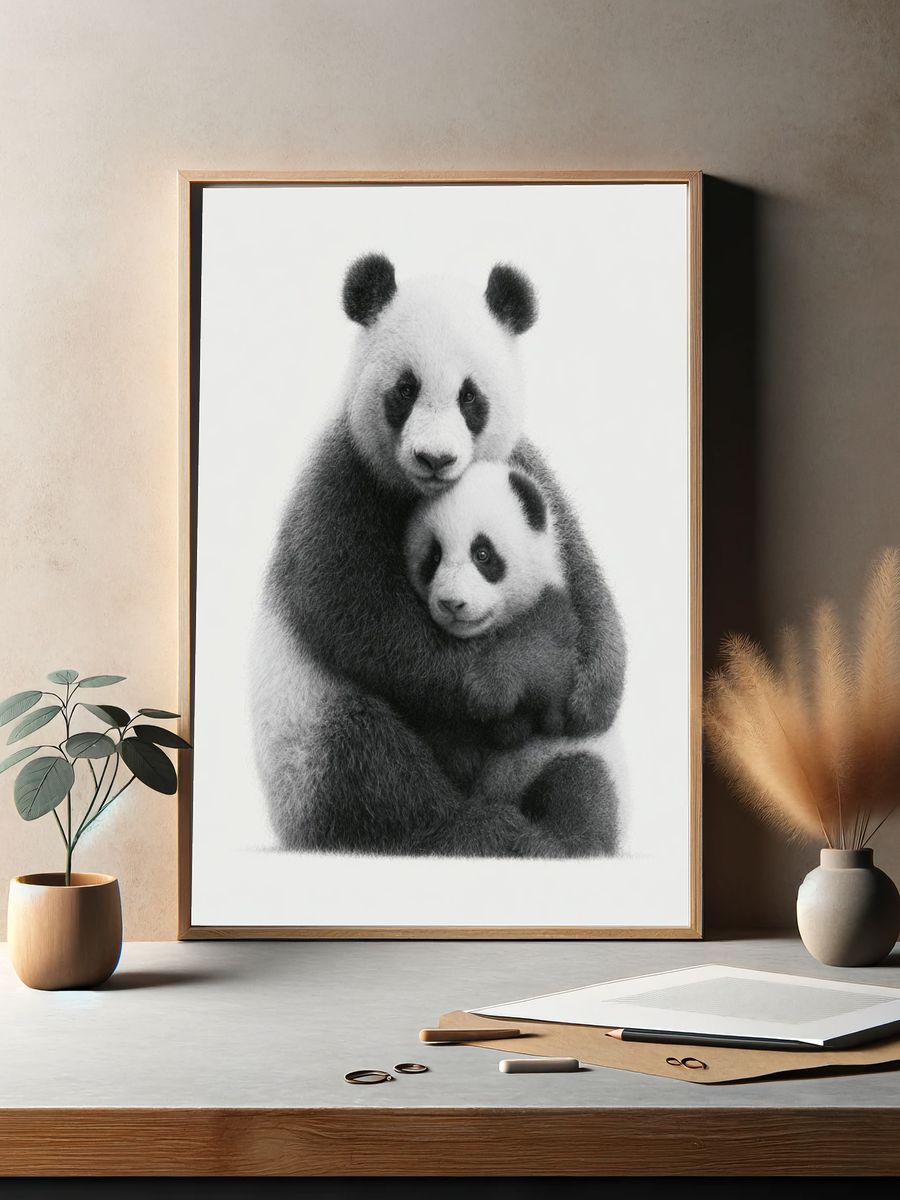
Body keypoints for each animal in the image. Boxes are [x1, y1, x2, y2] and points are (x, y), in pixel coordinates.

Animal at [251, 253, 626, 858]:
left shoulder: (521, 466)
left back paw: (563, 830)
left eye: (470, 397)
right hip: (303, 727)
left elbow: (579, 565)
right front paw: (510, 678)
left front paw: (593, 694)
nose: (435, 458)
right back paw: (479, 832)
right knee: (369, 769)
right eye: (405, 390)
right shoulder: (342, 483)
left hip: (548, 760)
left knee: (583, 777)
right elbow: (364, 616)